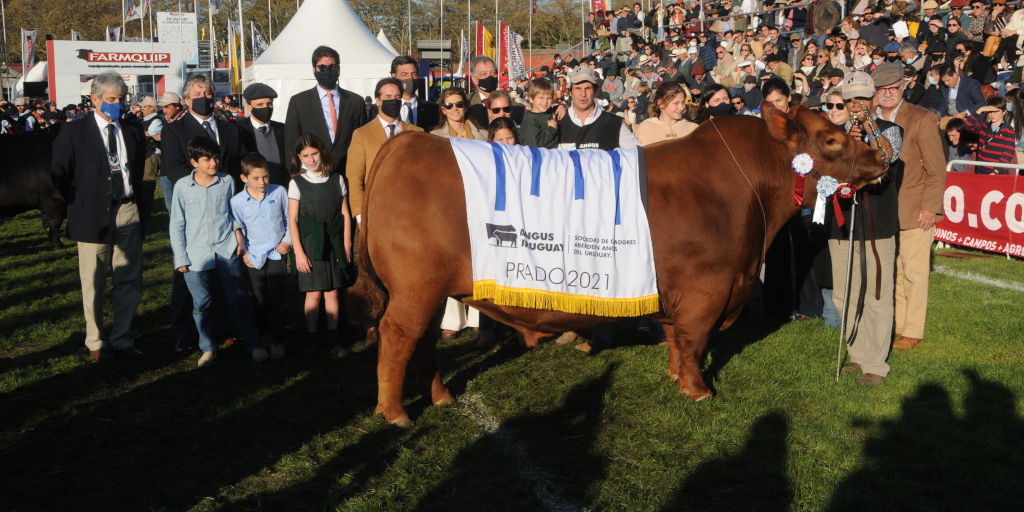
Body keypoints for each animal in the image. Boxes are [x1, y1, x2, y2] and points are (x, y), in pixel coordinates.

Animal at [348, 101, 884, 425]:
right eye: (831, 140)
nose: (880, 156)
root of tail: (410, 141)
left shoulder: (680, 293)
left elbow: (677, 339)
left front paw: (674, 378)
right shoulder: (707, 290)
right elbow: (695, 342)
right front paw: (698, 391)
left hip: (430, 290)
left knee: (421, 342)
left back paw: (441, 396)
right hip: (415, 288)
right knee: (398, 336)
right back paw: (394, 412)